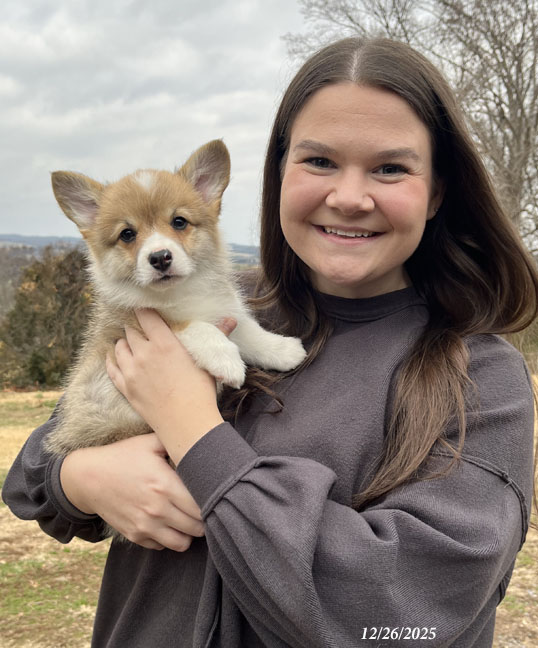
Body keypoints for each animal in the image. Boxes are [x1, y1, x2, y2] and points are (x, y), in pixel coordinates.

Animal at [45, 139, 306, 458]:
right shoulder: (135, 325)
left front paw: (286, 350)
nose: (160, 257)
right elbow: (195, 327)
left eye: (179, 222)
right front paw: (227, 361)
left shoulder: (226, 310)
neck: (181, 293)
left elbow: (252, 333)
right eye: (127, 234)